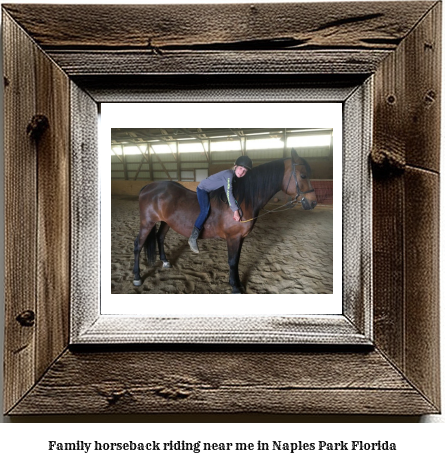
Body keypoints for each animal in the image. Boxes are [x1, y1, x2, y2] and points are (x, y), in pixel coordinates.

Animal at [132, 148, 316, 294]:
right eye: (303, 175)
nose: (313, 202)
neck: (242, 200)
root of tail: (148, 187)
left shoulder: (240, 238)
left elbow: (236, 261)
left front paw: (237, 283)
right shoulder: (233, 238)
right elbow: (232, 261)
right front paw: (235, 287)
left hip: (166, 222)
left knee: (160, 237)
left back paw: (165, 262)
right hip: (147, 223)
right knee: (138, 245)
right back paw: (137, 277)